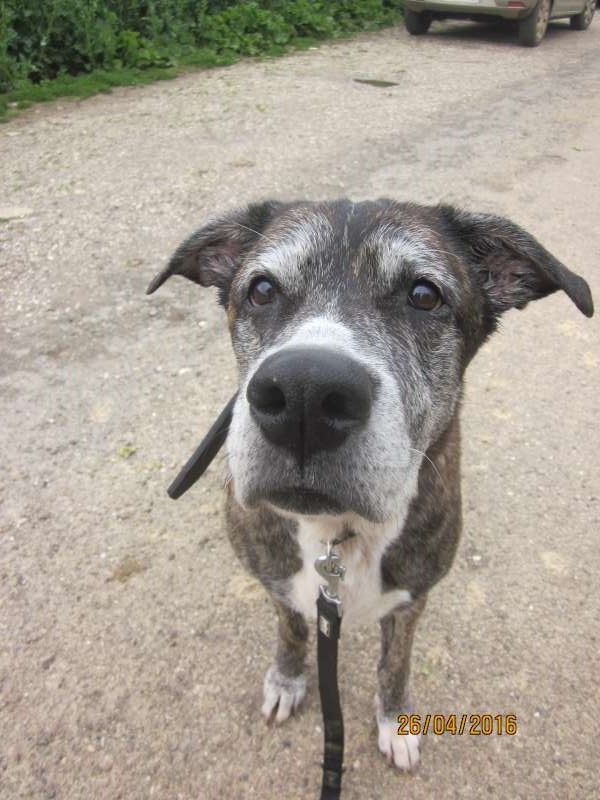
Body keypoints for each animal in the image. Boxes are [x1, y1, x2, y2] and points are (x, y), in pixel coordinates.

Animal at [146, 198, 596, 768]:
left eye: (424, 295)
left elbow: (395, 662)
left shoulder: (412, 596)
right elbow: (291, 628)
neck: (337, 530)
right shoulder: (275, 579)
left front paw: (396, 719)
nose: (304, 394)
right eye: (261, 289)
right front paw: (288, 679)